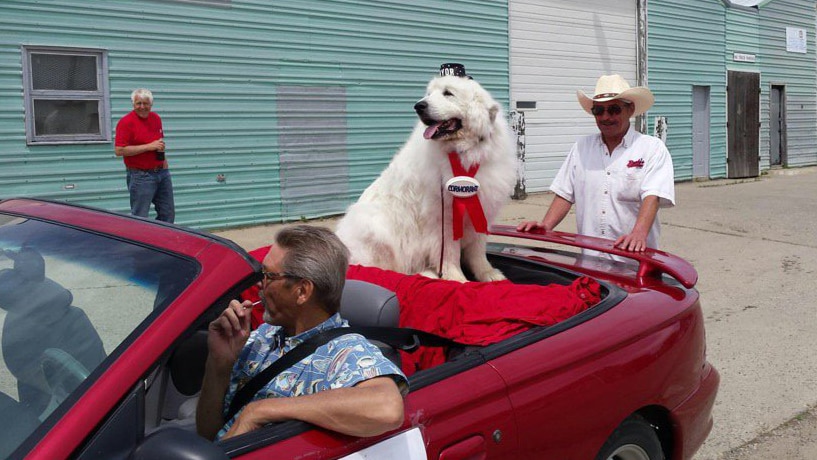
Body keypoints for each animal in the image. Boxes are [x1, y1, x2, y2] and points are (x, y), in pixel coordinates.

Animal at [334, 64, 512, 280]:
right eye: (428, 94)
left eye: (448, 93)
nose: (419, 106)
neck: (463, 152)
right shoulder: (442, 219)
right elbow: (449, 253)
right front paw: (457, 279)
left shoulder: (480, 207)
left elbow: (478, 250)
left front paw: (488, 274)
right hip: (376, 227)